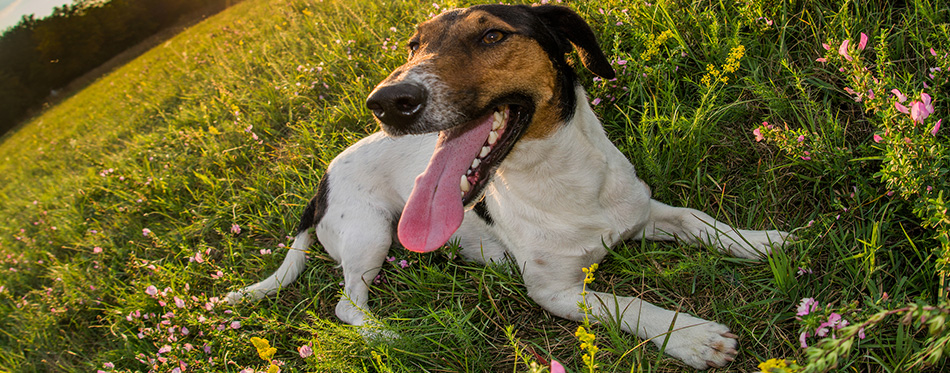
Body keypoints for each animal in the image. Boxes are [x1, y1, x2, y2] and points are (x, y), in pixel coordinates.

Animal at [227, 3, 792, 370]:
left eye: (493, 36)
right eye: (414, 45)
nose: (386, 101)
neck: (561, 178)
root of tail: (321, 182)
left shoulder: (642, 210)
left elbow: (699, 220)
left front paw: (760, 242)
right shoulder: (554, 291)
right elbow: (628, 305)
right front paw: (694, 337)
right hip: (370, 234)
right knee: (348, 304)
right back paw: (392, 334)